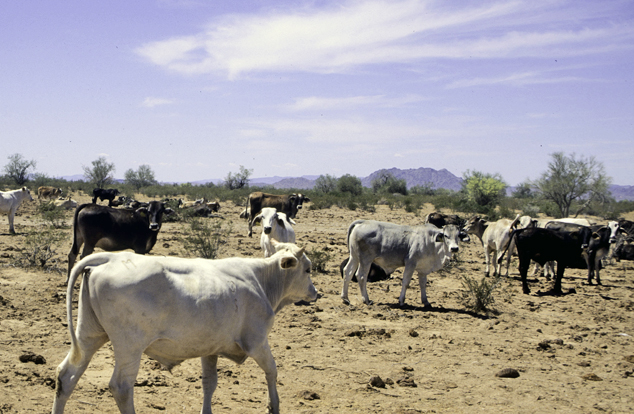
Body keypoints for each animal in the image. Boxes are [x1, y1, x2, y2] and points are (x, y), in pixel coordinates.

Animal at [52, 241, 316, 414]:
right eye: (308, 269)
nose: (316, 292)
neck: (261, 280)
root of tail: (109, 258)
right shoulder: (257, 341)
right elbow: (272, 371)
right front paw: (274, 406)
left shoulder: (210, 349)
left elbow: (209, 383)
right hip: (129, 346)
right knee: (121, 387)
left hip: (89, 335)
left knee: (67, 376)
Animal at [340, 220, 470, 308]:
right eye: (446, 236)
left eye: (458, 236)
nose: (454, 248)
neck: (432, 242)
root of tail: (362, 222)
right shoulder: (410, 263)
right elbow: (406, 282)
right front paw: (401, 301)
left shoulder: (423, 269)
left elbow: (423, 284)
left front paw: (426, 301)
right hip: (365, 260)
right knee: (361, 276)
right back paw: (366, 300)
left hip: (354, 257)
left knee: (348, 272)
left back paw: (345, 298)